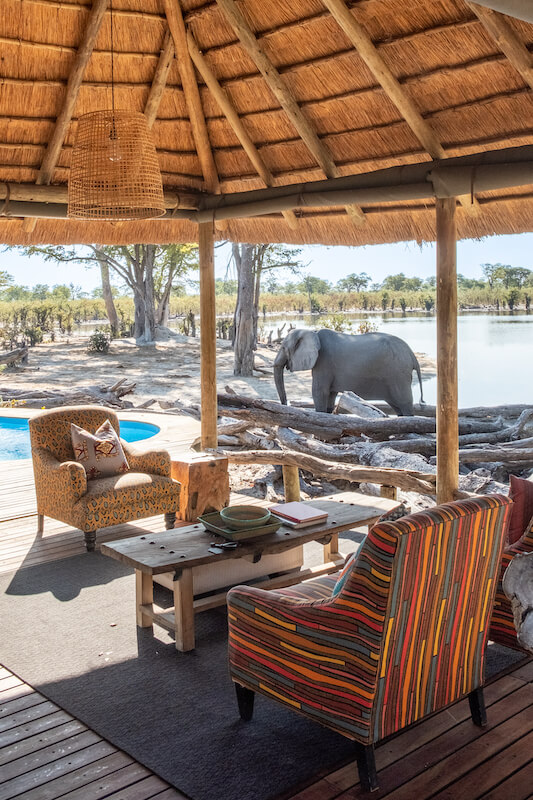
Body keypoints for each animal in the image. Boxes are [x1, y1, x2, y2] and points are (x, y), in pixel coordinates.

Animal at [273, 328, 424, 415]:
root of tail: (412, 355)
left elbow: (319, 392)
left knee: (405, 404)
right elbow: (331, 395)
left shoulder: (324, 362)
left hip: (398, 374)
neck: (312, 332)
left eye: (283, 348)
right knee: (398, 406)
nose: (285, 404)